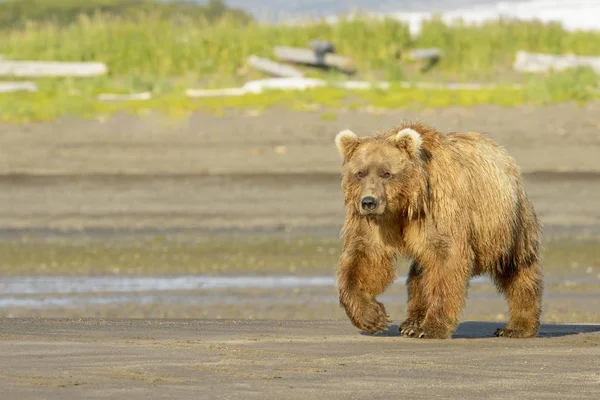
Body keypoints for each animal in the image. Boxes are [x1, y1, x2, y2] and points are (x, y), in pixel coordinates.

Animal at [332, 119, 544, 338]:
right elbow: (363, 256)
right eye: (360, 173)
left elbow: (445, 259)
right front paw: (372, 317)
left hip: (505, 223)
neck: (404, 204)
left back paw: (517, 326)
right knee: (420, 272)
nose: (369, 202)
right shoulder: (375, 222)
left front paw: (431, 328)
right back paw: (412, 322)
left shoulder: (439, 207)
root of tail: (502, 153)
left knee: (516, 266)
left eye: (387, 173)